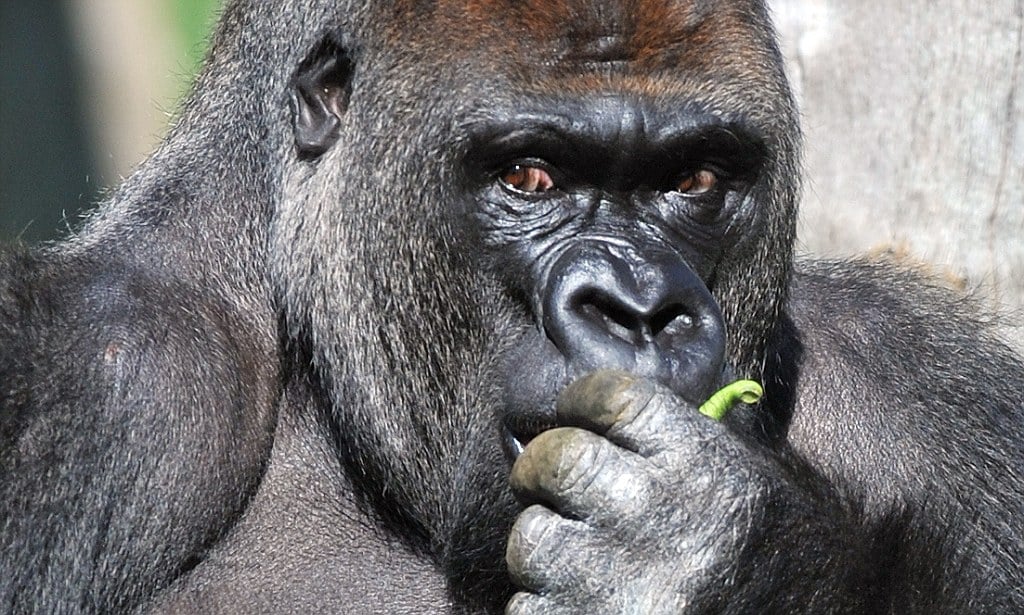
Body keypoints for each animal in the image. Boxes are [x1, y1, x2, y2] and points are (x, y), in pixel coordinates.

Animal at [2, 0, 1024, 609]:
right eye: (530, 175)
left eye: (694, 178)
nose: (637, 307)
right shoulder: (84, 373)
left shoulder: (918, 379)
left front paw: (734, 560)